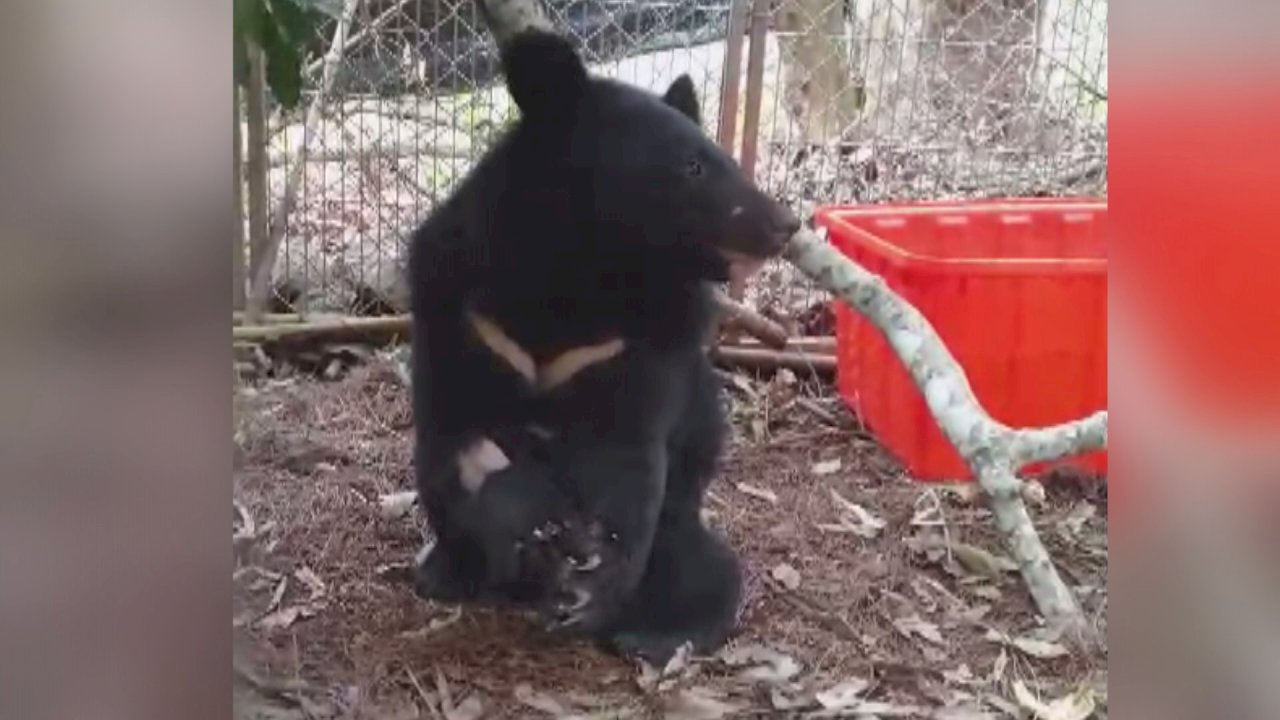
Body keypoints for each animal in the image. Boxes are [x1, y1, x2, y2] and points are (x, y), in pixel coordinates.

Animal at [405, 28, 800, 663]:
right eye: (692, 166)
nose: (785, 224)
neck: (583, 272)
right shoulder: (458, 306)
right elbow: (459, 432)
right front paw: (523, 520)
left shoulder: (647, 338)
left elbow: (626, 451)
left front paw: (592, 582)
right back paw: (447, 572)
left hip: (679, 529)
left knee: (707, 569)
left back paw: (654, 633)